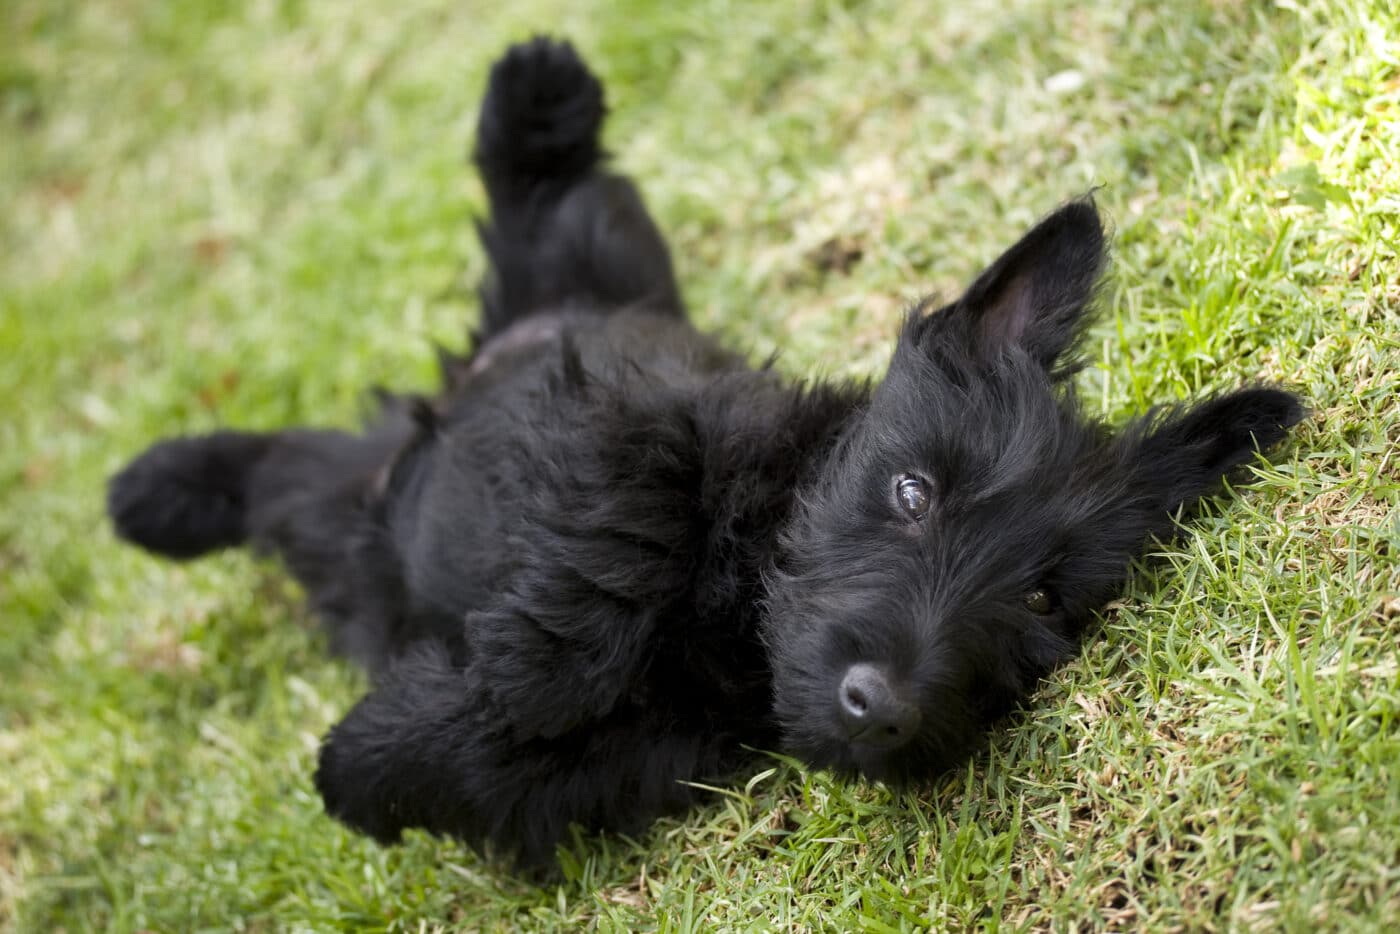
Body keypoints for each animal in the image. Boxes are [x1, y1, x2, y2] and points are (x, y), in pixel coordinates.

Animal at [106, 36, 1299, 868]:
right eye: (911, 491)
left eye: (1046, 602)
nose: (882, 707)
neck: (737, 627)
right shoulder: (628, 426)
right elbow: (613, 553)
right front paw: (494, 682)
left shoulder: (642, 759)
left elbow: (497, 763)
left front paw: (369, 761)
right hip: (584, 282)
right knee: (550, 196)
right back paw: (537, 88)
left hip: (350, 508)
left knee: (285, 474)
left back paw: (162, 496)